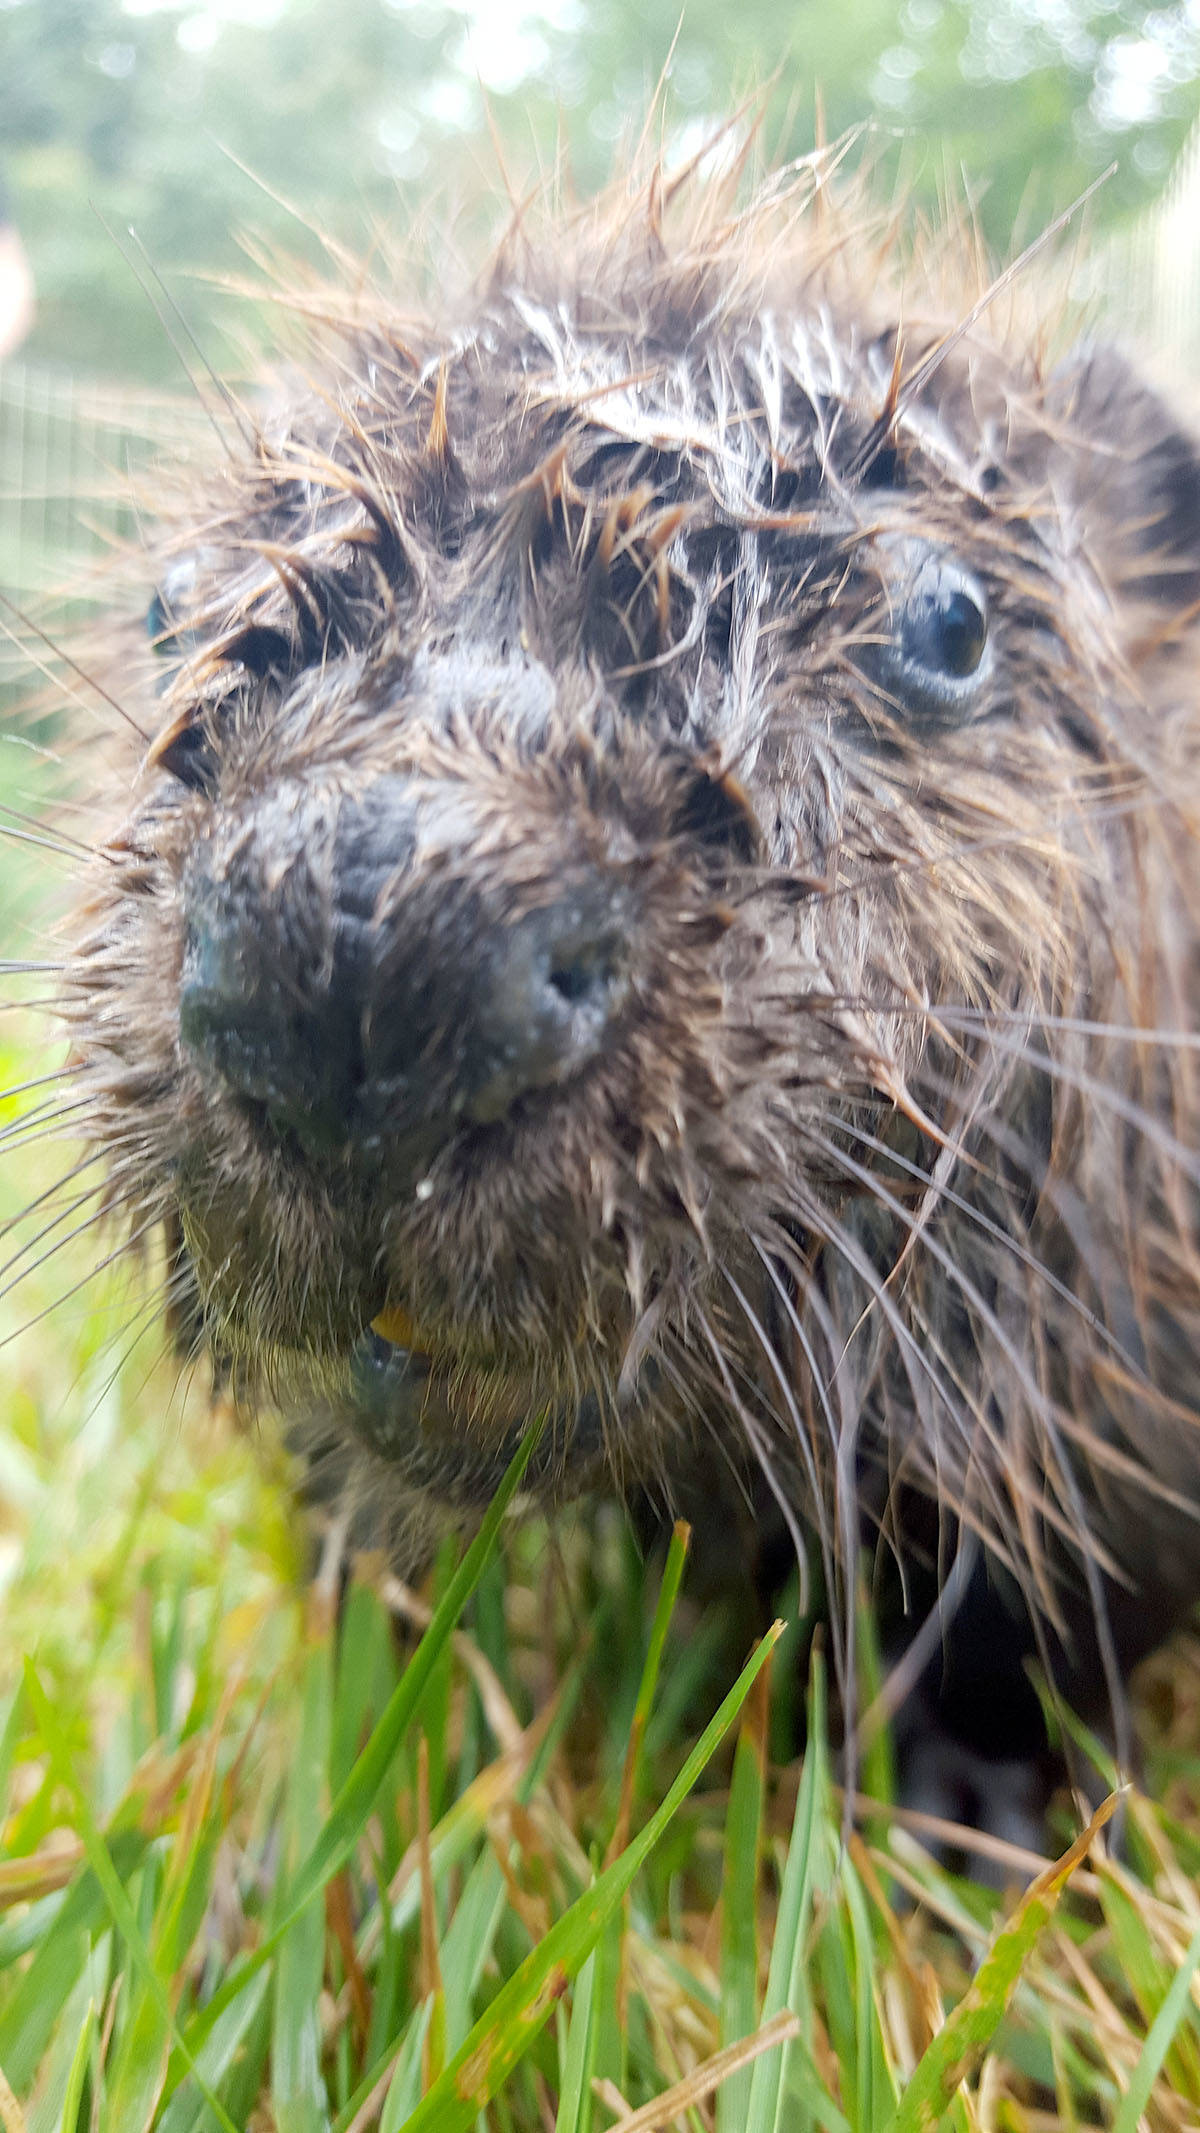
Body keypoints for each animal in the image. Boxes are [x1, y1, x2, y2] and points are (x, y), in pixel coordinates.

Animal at [51, 150, 1200, 1851]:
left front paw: (956, 1823)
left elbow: (1040, 1591)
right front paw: (299, 1813)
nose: (364, 933)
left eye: (949, 624)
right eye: (166, 604)